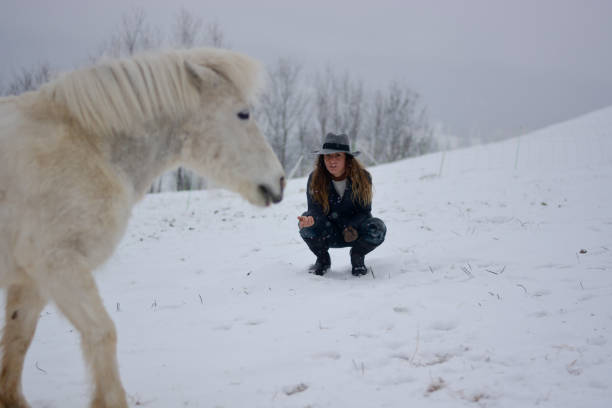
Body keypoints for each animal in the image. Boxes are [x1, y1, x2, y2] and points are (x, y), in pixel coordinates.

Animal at [0, 48, 286, 408]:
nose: (279, 181)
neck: (90, 145)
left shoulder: (31, 279)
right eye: (243, 113)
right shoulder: (58, 265)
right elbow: (102, 333)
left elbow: (18, 341)